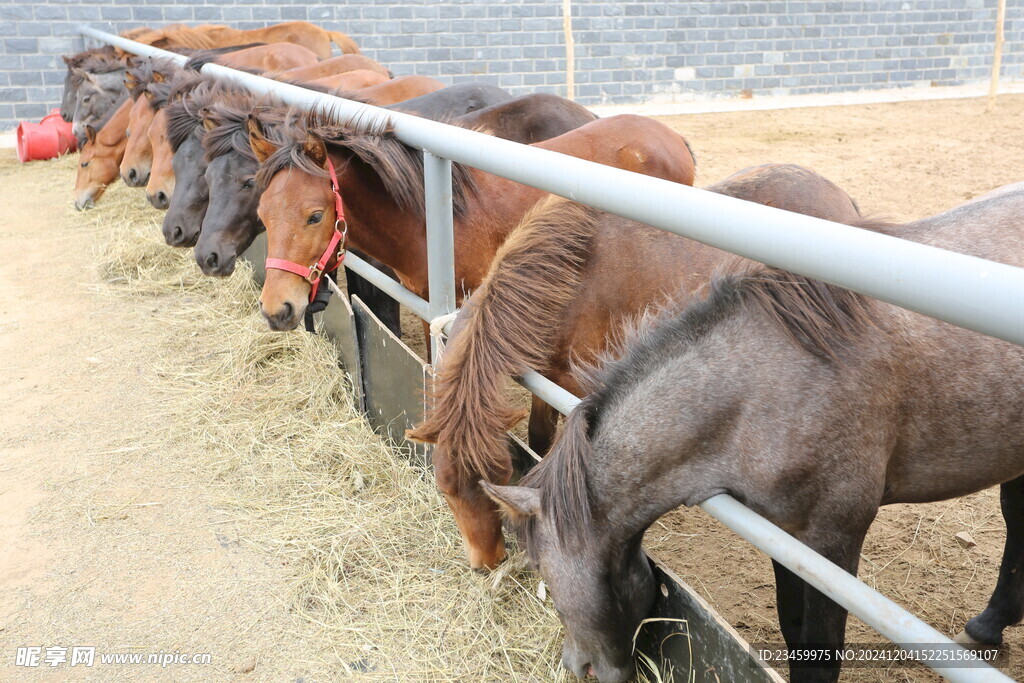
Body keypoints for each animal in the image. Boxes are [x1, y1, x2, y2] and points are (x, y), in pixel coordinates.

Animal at [407, 162, 864, 569]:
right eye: (446, 488)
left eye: (496, 477)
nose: (487, 561)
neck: (570, 284)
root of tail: (841, 197)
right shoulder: (548, 381)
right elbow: (538, 437)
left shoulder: (577, 391)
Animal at [483, 187, 1024, 683]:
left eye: (540, 569)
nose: (577, 666)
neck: (765, 390)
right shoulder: (784, 537)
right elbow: (794, 631)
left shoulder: (834, 543)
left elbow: (821, 652)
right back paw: (989, 625)